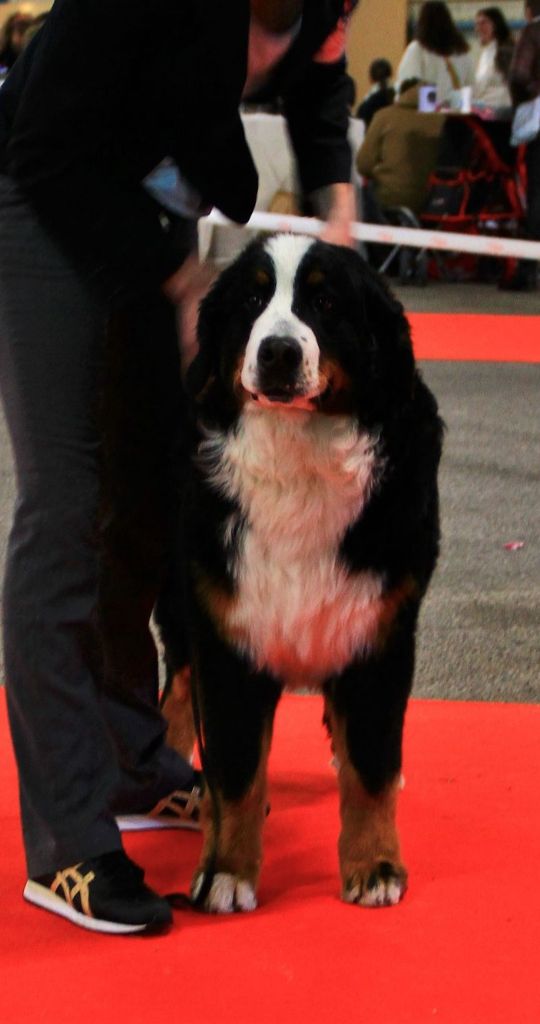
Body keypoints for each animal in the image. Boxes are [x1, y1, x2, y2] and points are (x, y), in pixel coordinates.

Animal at [157, 235, 444, 917]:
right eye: (253, 300)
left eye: (326, 302)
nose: (279, 351)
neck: (299, 459)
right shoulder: (226, 635)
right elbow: (235, 768)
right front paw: (226, 872)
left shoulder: (379, 636)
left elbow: (372, 769)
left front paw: (375, 866)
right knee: (177, 692)